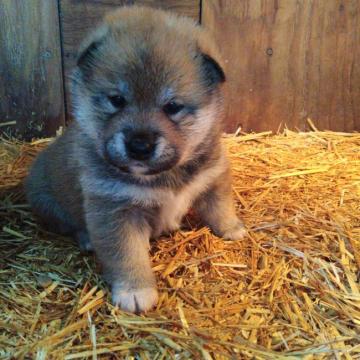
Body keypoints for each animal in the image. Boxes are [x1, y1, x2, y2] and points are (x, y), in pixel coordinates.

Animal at [25, 5, 246, 312]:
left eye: (172, 106)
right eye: (117, 100)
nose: (139, 146)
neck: (162, 176)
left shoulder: (212, 176)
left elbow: (219, 206)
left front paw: (231, 227)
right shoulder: (115, 210)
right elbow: (127, 255)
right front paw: (135, 291)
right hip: (48, 203)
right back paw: (86, 238)